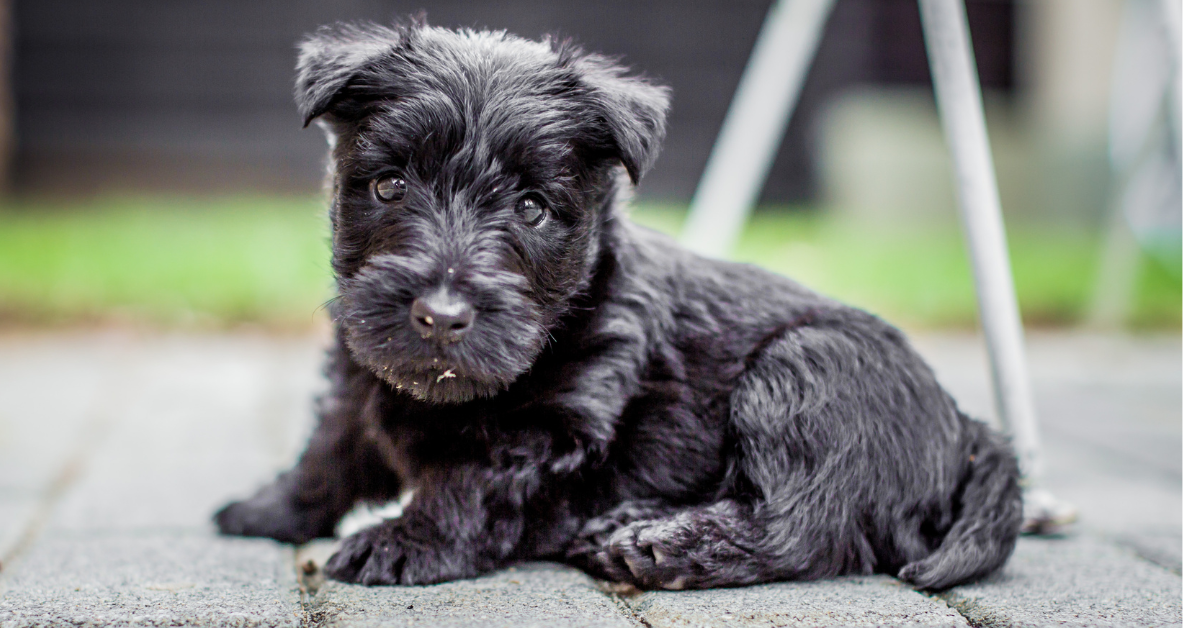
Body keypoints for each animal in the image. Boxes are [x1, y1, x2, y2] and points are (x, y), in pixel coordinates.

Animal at [216, 18, 1022, 590]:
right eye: (389, 185)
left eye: (534, 208)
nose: (440, 316)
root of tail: (968, 430)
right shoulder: (359, 379)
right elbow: (328, 452)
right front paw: (269, 508)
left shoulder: (547, 428)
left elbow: (466, 482)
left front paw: (402, 541)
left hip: (805, 371)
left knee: (802, 526)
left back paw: (653, 546)